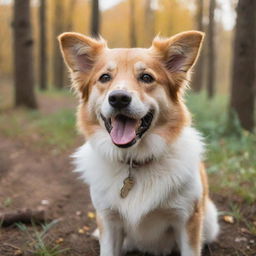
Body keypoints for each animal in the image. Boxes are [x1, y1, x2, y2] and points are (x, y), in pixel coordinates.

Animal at [58, 30, 220, 256]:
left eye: (146, 77)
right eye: (105, 77)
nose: (118, 98)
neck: (134, 161)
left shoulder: (187, 219)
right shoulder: (108, 220)